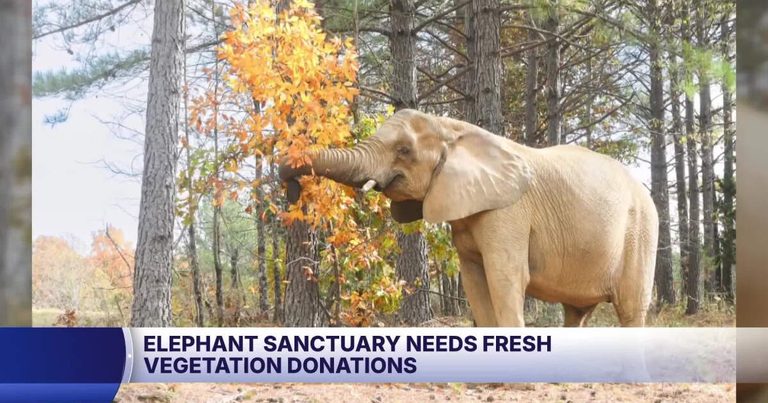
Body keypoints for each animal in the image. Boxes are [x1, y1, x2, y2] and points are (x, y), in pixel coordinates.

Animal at [279, 109, 658, 327]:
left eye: (404, 150)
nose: (293, 188)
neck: (454, 128)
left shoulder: (508, 212)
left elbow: (505, 278)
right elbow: (475, 283)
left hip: (641, 231)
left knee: (630, 308)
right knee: (577, 312)